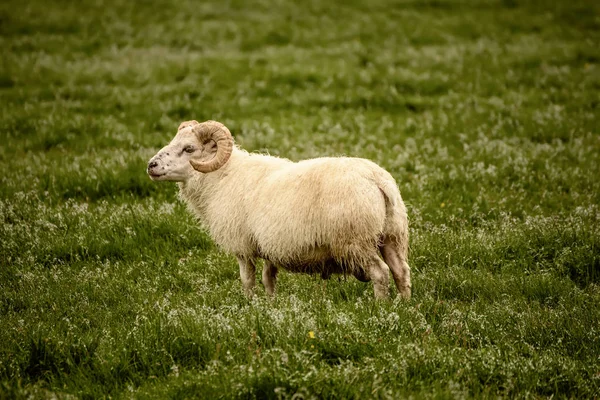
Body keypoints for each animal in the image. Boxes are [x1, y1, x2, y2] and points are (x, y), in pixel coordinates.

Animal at [149, 120, 412, 298]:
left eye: (189, 149)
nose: (151, 165)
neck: (222, 177)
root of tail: (377, 180)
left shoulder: (242, 245)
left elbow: (247, 279)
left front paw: (249, 305)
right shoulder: (269, 246)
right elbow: (268, 278)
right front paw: (270, 304)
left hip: (355, 240)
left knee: (381, 273)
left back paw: (380, 308)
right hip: (392, 235)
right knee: (401, 271)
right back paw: (404, 307)